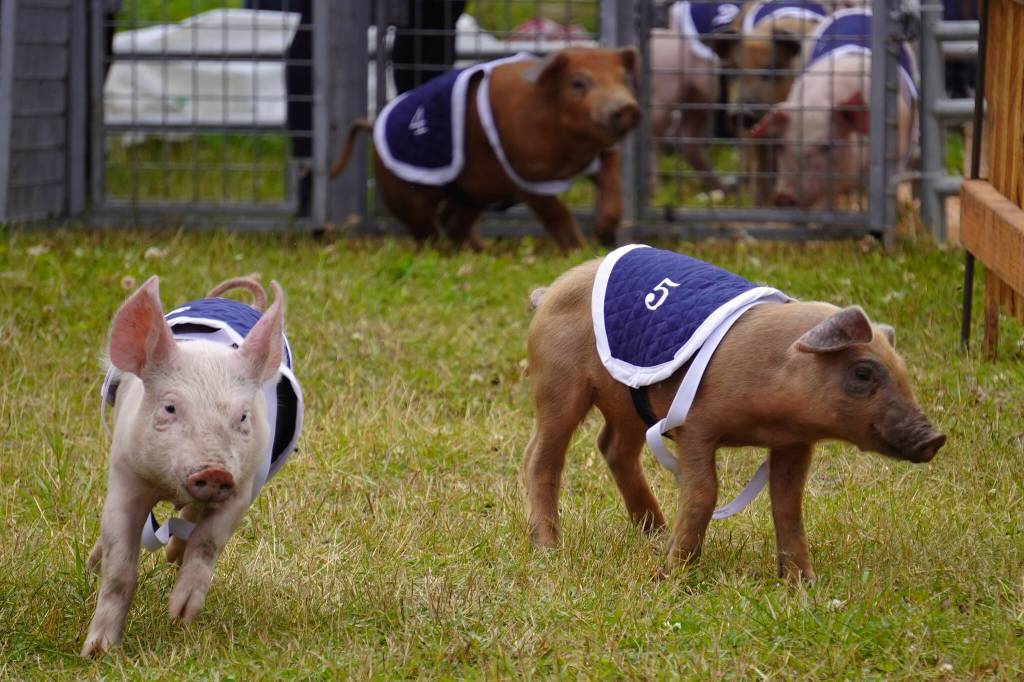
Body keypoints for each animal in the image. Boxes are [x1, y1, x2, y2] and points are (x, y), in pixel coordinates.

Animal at [82, 276, 299, 656]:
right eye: (169, 408)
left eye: (243, 417)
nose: (214, 471)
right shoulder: (126, 475)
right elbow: (120, 568)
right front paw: (97, 652)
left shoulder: (243, 486)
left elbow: (209, 541)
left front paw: (180, 614)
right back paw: (91, 568)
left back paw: (172, 555)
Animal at [329, 47, 640, 250]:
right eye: (578, 82)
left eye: (623, 79)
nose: (626, 108)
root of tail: (373, 124)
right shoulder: (526, 175)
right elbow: (557, 214)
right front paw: (579, 249)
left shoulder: (602, 155)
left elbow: (614, 185)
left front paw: (604, 231)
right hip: (407, 194)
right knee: (427, 230)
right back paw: (446, 252)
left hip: (471, 194)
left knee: (454, 223)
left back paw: (480, 250)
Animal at [523, 247, 945, 581]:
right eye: (863, 373)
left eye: (903, 371)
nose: (934, 437)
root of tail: (548, 292)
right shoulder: (694, 426)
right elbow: (703, 492)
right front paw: (670, 576)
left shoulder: (795, 443)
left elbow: (788, 504)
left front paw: (802, 583)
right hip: (558, 383)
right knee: (541, 458)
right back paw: (549, 549)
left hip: (628, 404)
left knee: (613, 448)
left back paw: (654, 533)